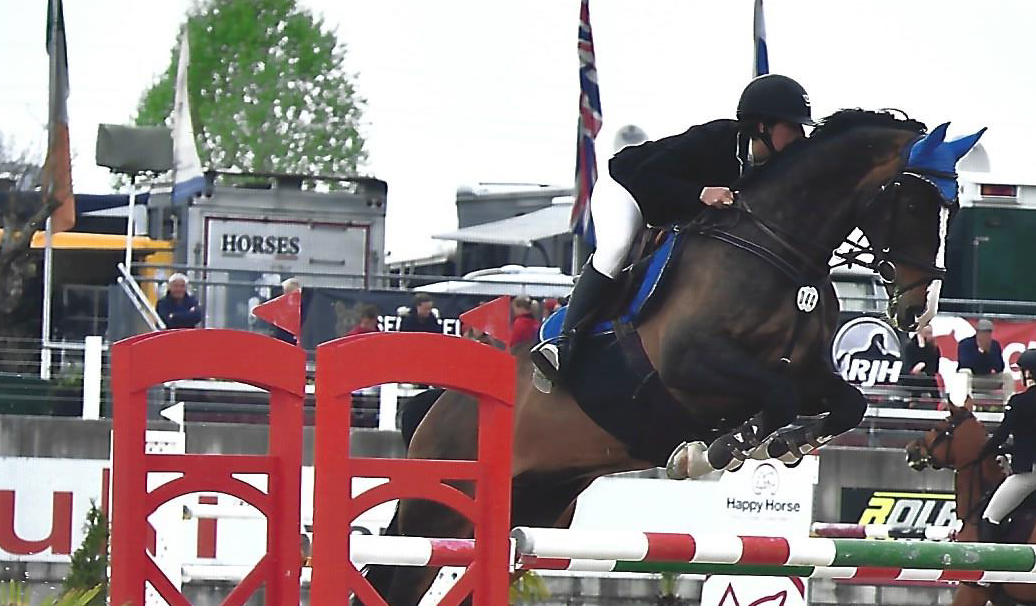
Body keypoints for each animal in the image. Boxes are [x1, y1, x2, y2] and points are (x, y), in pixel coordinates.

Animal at [368, 109, 982, 604]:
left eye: (953, 209)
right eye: (912, 201)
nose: (920, 312)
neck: (779, 244)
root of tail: (432, 412)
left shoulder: (806, 373)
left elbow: (846, 402)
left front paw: (784, 444)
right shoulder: (690, 366)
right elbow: (775, 396)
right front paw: (719, 450)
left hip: (537, 507)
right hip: (439, 513)